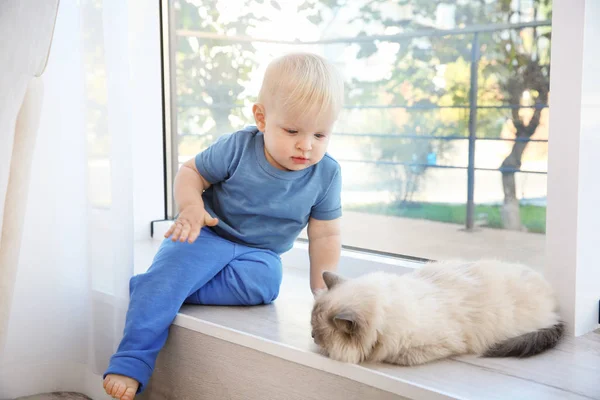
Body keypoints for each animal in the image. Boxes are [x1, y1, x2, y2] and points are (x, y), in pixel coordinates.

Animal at [312, 260, 564, 366]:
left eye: (318, 333)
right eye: (312, 327)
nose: (313, 336)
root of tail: (554, 305)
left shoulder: (442, 344)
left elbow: (402, 357)